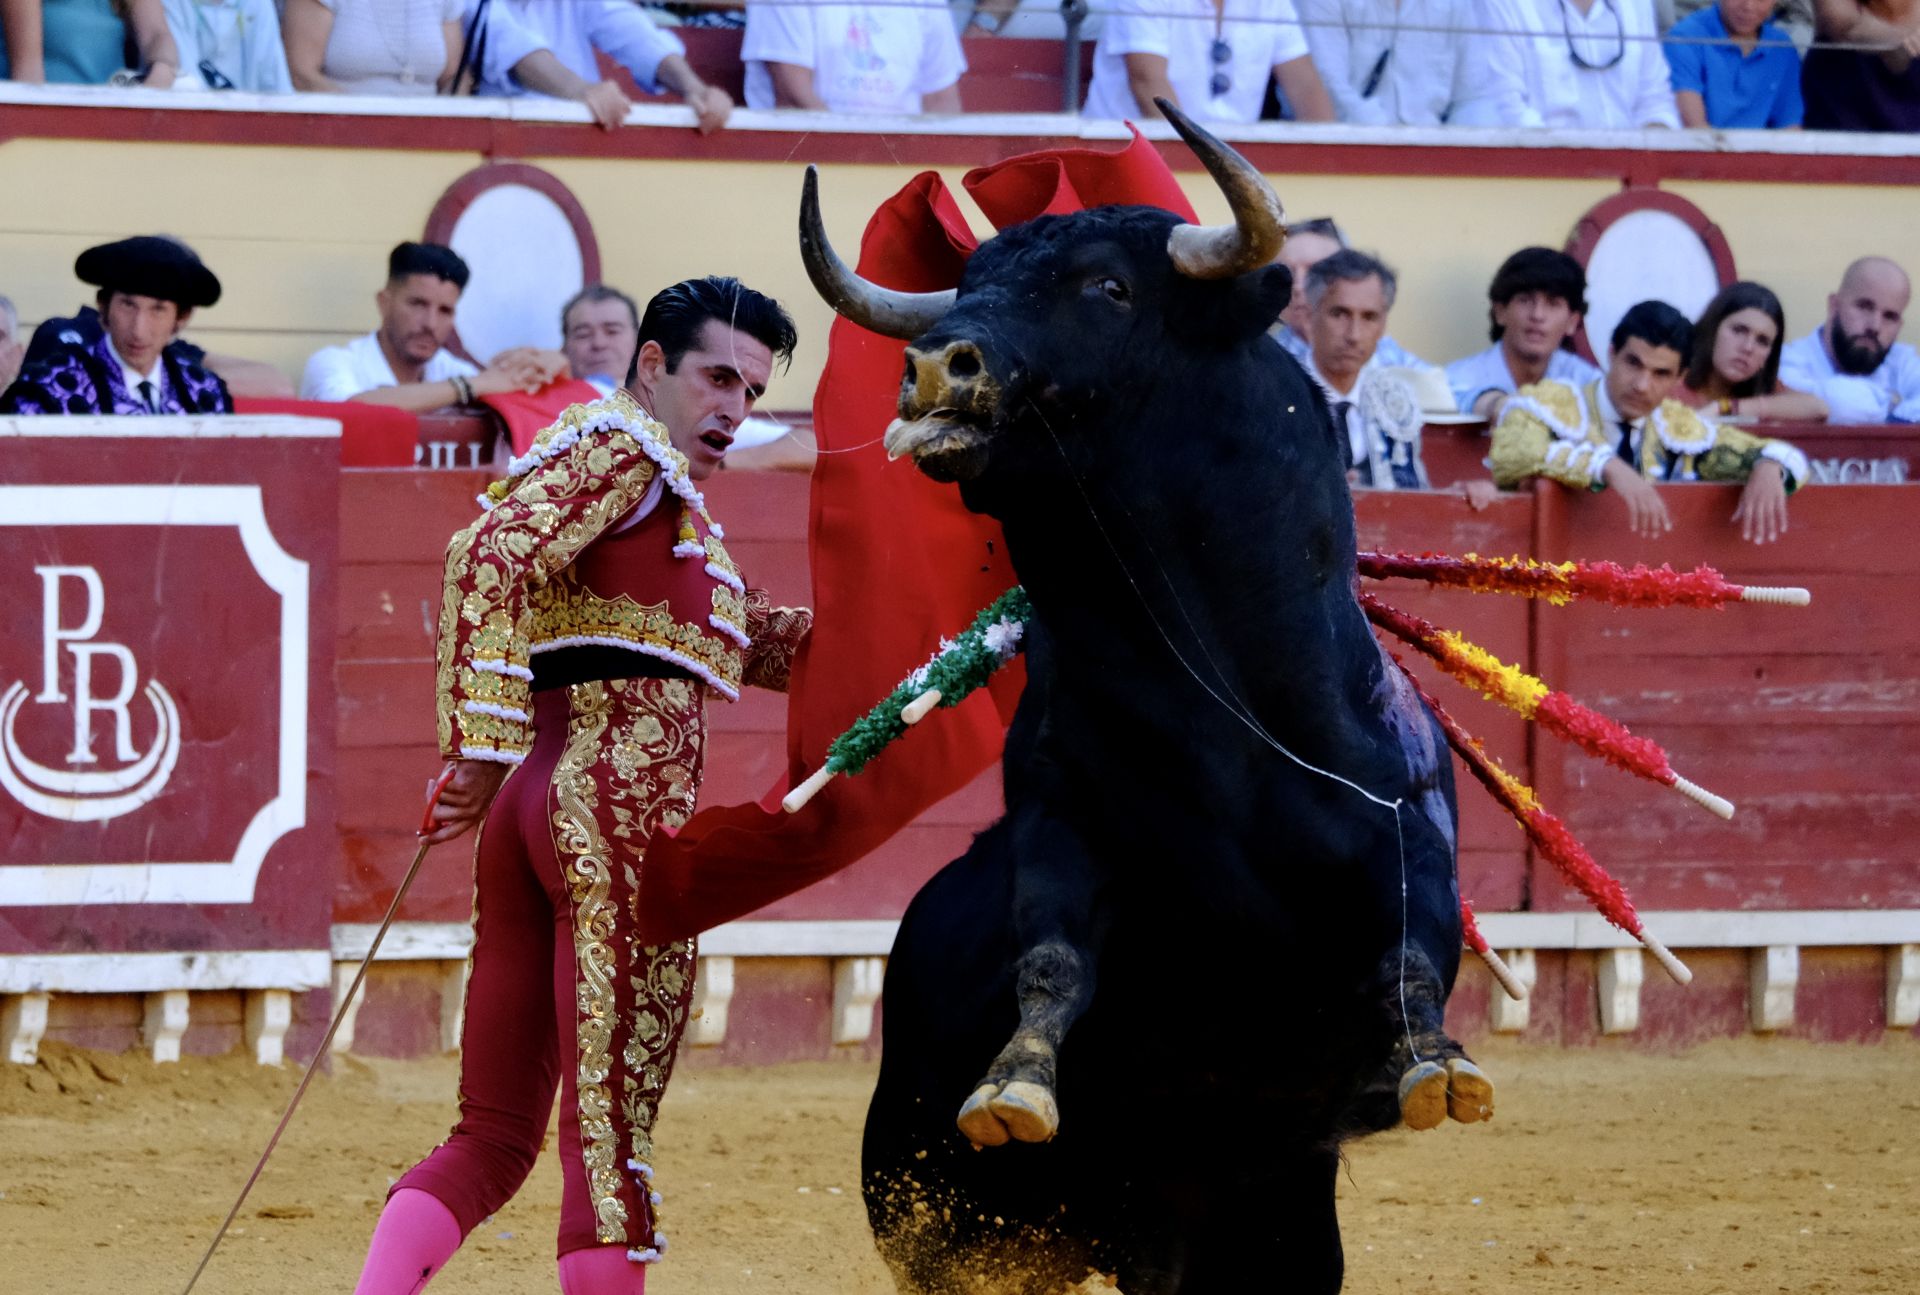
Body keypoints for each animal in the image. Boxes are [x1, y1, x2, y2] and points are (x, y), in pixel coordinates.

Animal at [794, 103, 1482, 1291]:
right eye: (970, 278)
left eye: (1108, 287)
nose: (935, 366)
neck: (1222, 734)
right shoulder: (1059, 829)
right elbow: (1052, 957)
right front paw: (1013, 1085)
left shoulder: (1409, 837)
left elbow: (1410, 958)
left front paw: (1438, 1065)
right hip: (939, 1217)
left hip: (1265, 1217)